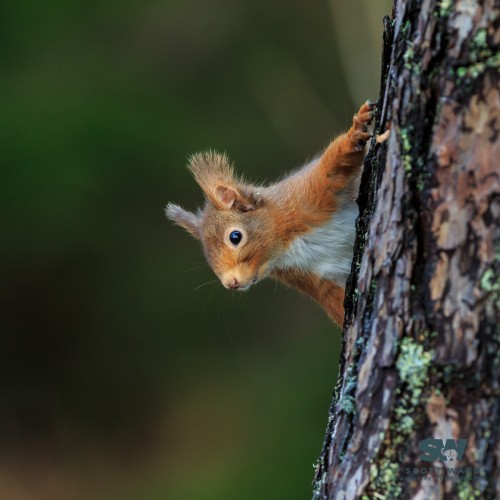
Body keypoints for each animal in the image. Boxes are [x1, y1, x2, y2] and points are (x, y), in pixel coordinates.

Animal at [166, 103, 374, 326]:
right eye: (206, 254)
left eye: (235, 237)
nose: (231, 283)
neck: (285, 244)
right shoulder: (315, 278)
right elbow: (335, 300)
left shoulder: (307, 196)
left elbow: (333, 168)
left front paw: (357, 130)